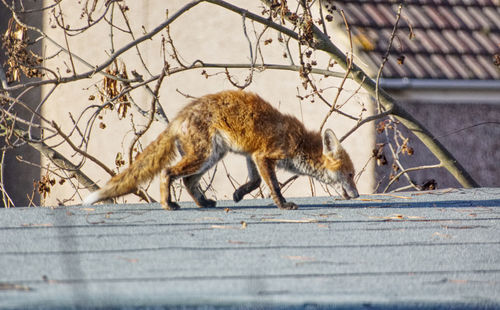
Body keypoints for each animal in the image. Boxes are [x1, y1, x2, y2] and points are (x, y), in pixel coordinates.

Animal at [85, 90, 360, 211]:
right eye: (349, 175)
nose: (357, 195)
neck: (300, 142)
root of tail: (180, 116)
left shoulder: (251, 155)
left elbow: (255, 182)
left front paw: (238, 194)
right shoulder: (265, 155)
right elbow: (273, 185)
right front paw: (283, 205)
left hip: (212, 157)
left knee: (188, 181)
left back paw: (203, 203)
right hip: (203, 156)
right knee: (167, 172)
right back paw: (168, 204)